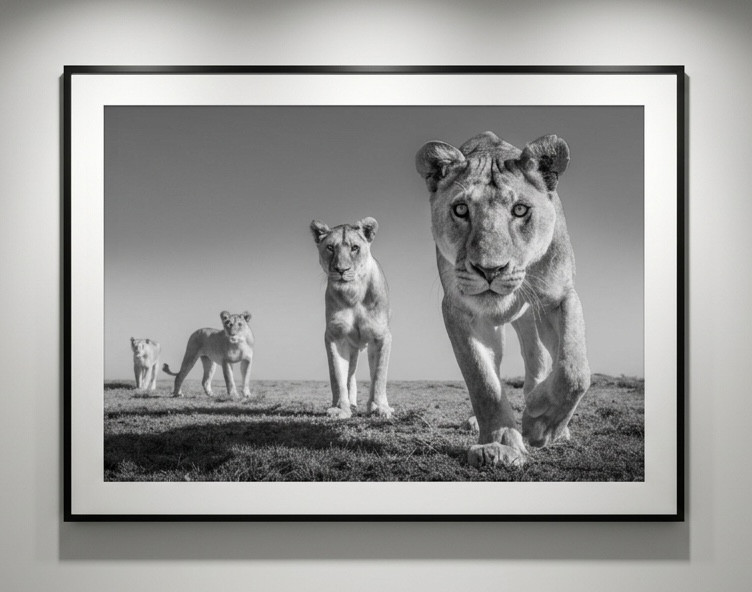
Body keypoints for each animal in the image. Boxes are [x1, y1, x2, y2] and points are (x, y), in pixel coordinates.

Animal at [310, 217, 393, 419]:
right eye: (330, 247)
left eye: (355, 247)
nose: (341, 269)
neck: (353, 294)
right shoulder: (335, 336)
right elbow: (337, 376)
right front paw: (341, 409)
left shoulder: (382, 336)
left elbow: (379, 375)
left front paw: (381, 407)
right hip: (353, 348)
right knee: (350, 376)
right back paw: (350, 404)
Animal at [415, 131, 591, 467]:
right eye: (461, 210)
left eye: (520, 210)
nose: (489, 269)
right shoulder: (460, 310)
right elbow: (483, 380)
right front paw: (498, 444)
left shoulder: (559, 297)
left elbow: (574, 370)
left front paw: (540, 422)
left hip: (531, 322)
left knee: (540, 359)